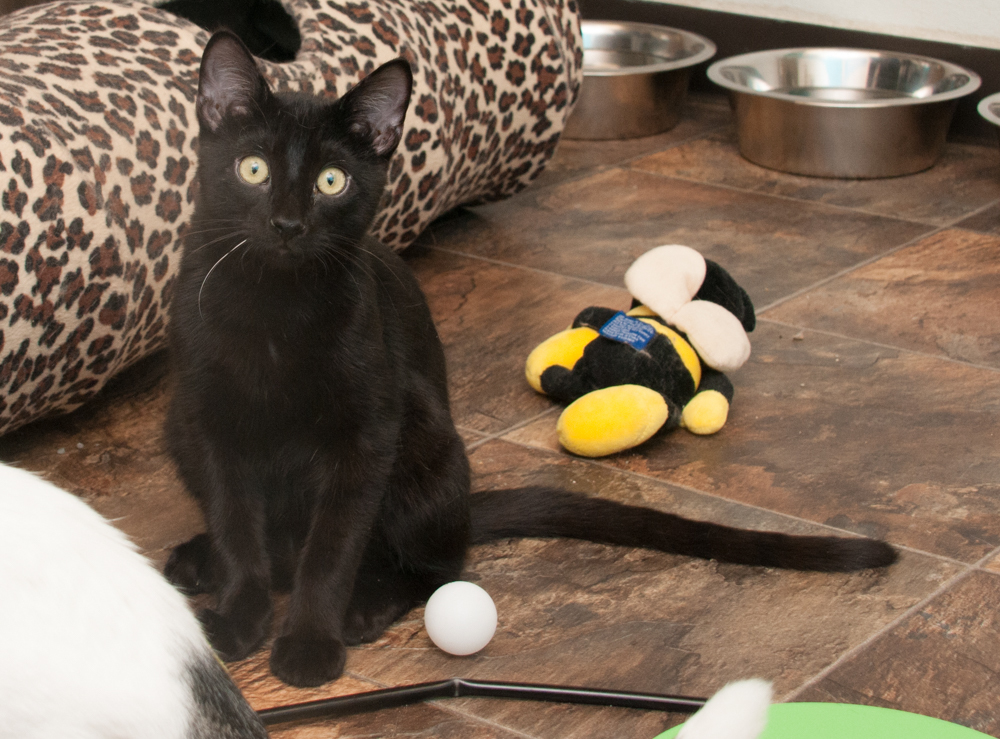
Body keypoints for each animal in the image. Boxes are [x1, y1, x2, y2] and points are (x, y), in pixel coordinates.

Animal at [166, 31, 900, 692]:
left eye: (331, 181)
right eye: (252, 169)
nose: (289, 225)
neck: (274, 309)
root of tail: (464, 504)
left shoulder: (365, 436)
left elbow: (331, 548)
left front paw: (309, 644)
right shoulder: (207, 423)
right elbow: (238, 529)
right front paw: (235, 618)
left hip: (421, 436)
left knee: (436, 560)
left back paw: (366, 604)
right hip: (180, 434)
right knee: (275, 545)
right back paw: (198, 561)